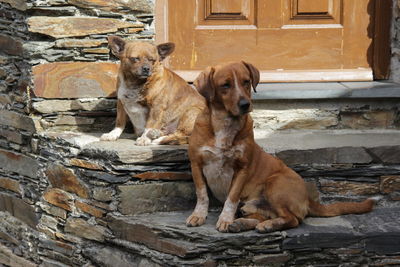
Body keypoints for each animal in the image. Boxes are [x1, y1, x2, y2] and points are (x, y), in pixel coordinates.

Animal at [186, 61, 376, 233]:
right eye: (225, 85)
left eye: (246, 81)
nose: (245, 104)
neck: (224, 123)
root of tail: (307, 198)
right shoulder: (196, 164)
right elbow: (202, 194)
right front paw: (199, 215)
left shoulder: (242, 168)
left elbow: (231, 198)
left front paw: (225, 219)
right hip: (253, 204)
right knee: (260, 215)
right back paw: (242, 224)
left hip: (275, 184)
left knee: (293, 219)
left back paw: (267, 225)